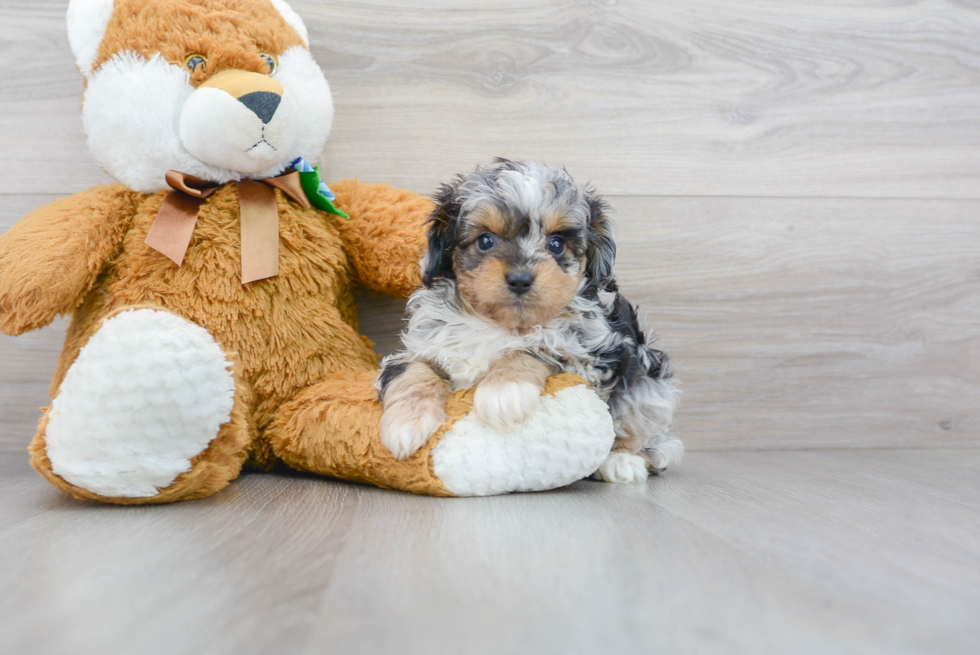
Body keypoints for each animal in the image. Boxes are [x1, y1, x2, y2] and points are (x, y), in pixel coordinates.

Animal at [376, 161, 680, 484]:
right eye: (485, 240)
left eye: (556, 244)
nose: (520, 278)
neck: (502, 324)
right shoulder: (422, 347)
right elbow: (412, 370)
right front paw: (406, 424)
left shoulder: (591, 356)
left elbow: (537, 347)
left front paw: (502, 392)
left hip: (648, 384)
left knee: (638, 426)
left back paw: (622, 460)